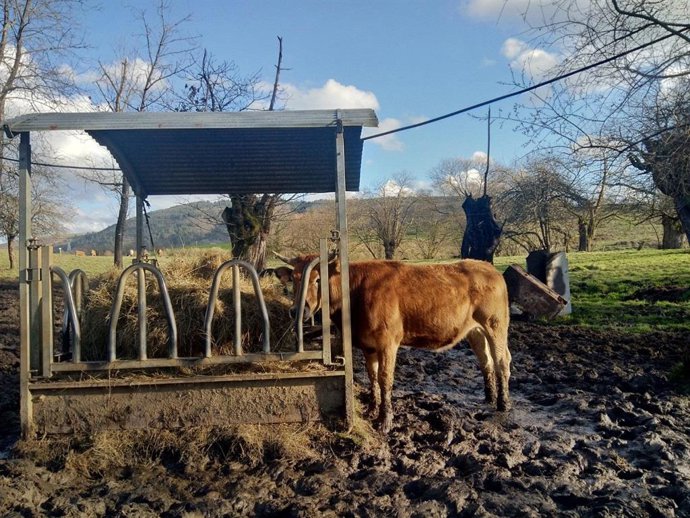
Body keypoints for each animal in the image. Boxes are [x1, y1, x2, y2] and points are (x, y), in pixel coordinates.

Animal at [274, 252, 512, 432]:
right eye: (293, 279)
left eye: (318, 279)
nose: (297, 311)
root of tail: (486, 266)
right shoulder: (368, 345)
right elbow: (372, 376)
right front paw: (372, 409)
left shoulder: (388, 342)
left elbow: (385, 378)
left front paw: (385, 420)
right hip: (475, 331)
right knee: (486, 361)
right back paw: (489, 398)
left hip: (496, 325)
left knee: (502, 360)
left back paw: (503, 403)